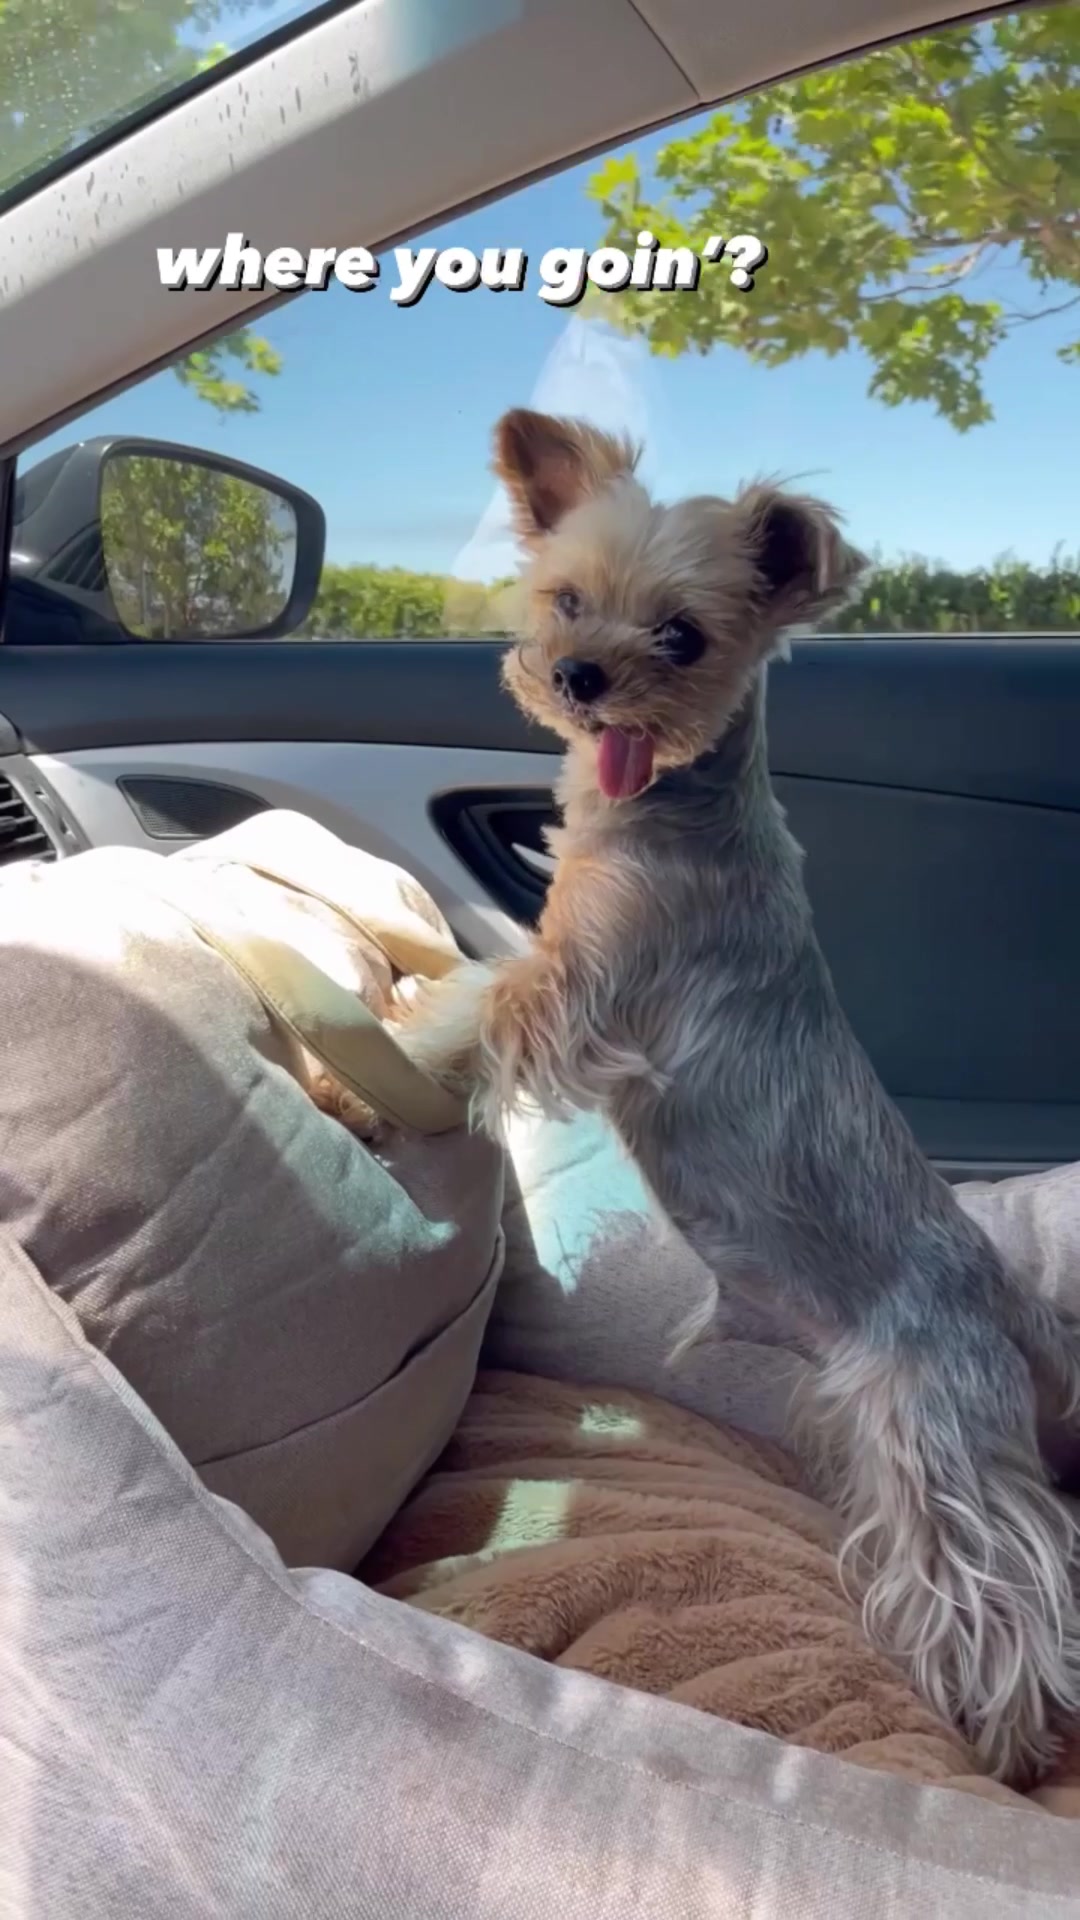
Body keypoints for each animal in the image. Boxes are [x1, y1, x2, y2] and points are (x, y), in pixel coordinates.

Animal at [396, 407, 1080, 1782]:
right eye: (565, 598)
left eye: (682, 636)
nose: (579, 676)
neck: (672, 798)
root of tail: (1003, 1293)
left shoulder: (587, 988)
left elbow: (493, 1000)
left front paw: (403, 1013)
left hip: (930, 1431)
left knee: (997, 1577)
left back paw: (1006, 1734)